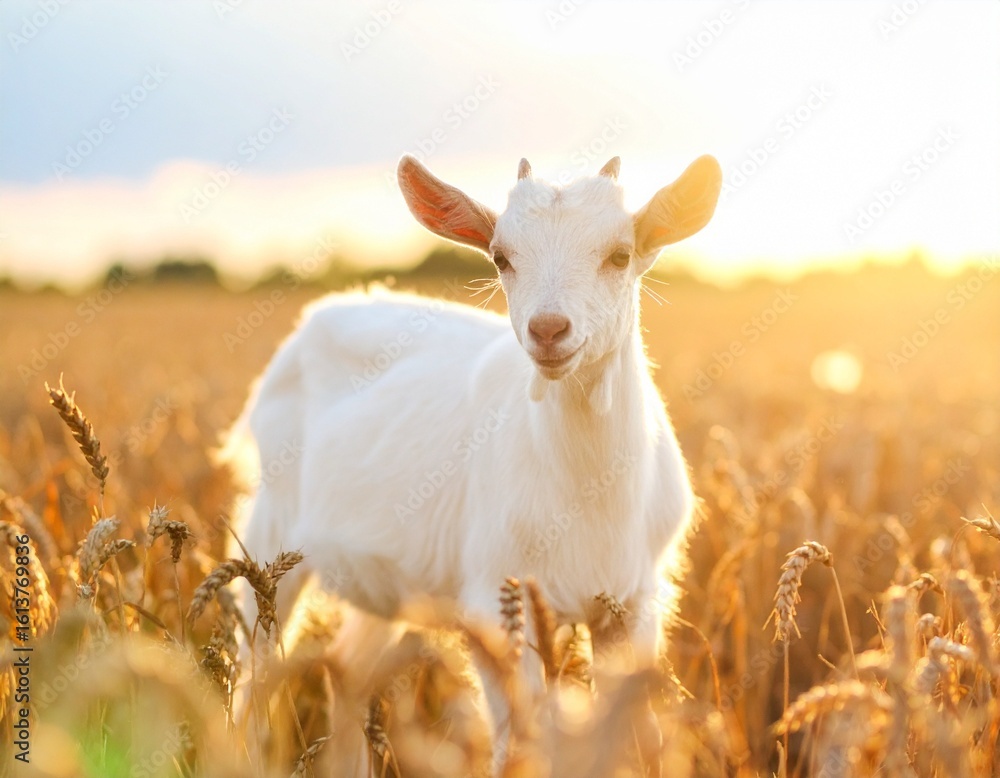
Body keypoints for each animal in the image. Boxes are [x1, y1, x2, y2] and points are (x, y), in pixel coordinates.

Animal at [229, 152, 721, 774]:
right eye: (501, 257)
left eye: (620, 254)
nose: (549, 330)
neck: (589, 489)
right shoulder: (495, 601)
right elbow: (520, 741)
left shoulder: (632, 603)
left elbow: (634, 733)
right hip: (271, 531)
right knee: (254, 668)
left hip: (385, 578)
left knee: (347, 667)